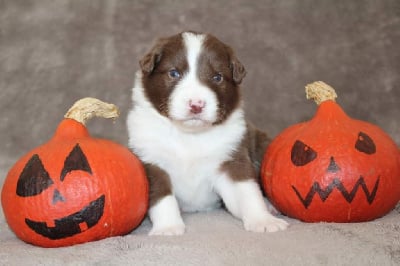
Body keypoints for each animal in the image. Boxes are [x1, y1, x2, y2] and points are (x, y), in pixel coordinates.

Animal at [127, 30, 288, 235]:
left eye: (217, 77)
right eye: (174, 73)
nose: (196, 104)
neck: (190, 135)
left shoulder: (232, 159)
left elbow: (248, 192)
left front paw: (263, 220)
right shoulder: (152, 162)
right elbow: (162, 197)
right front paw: (168, 227)